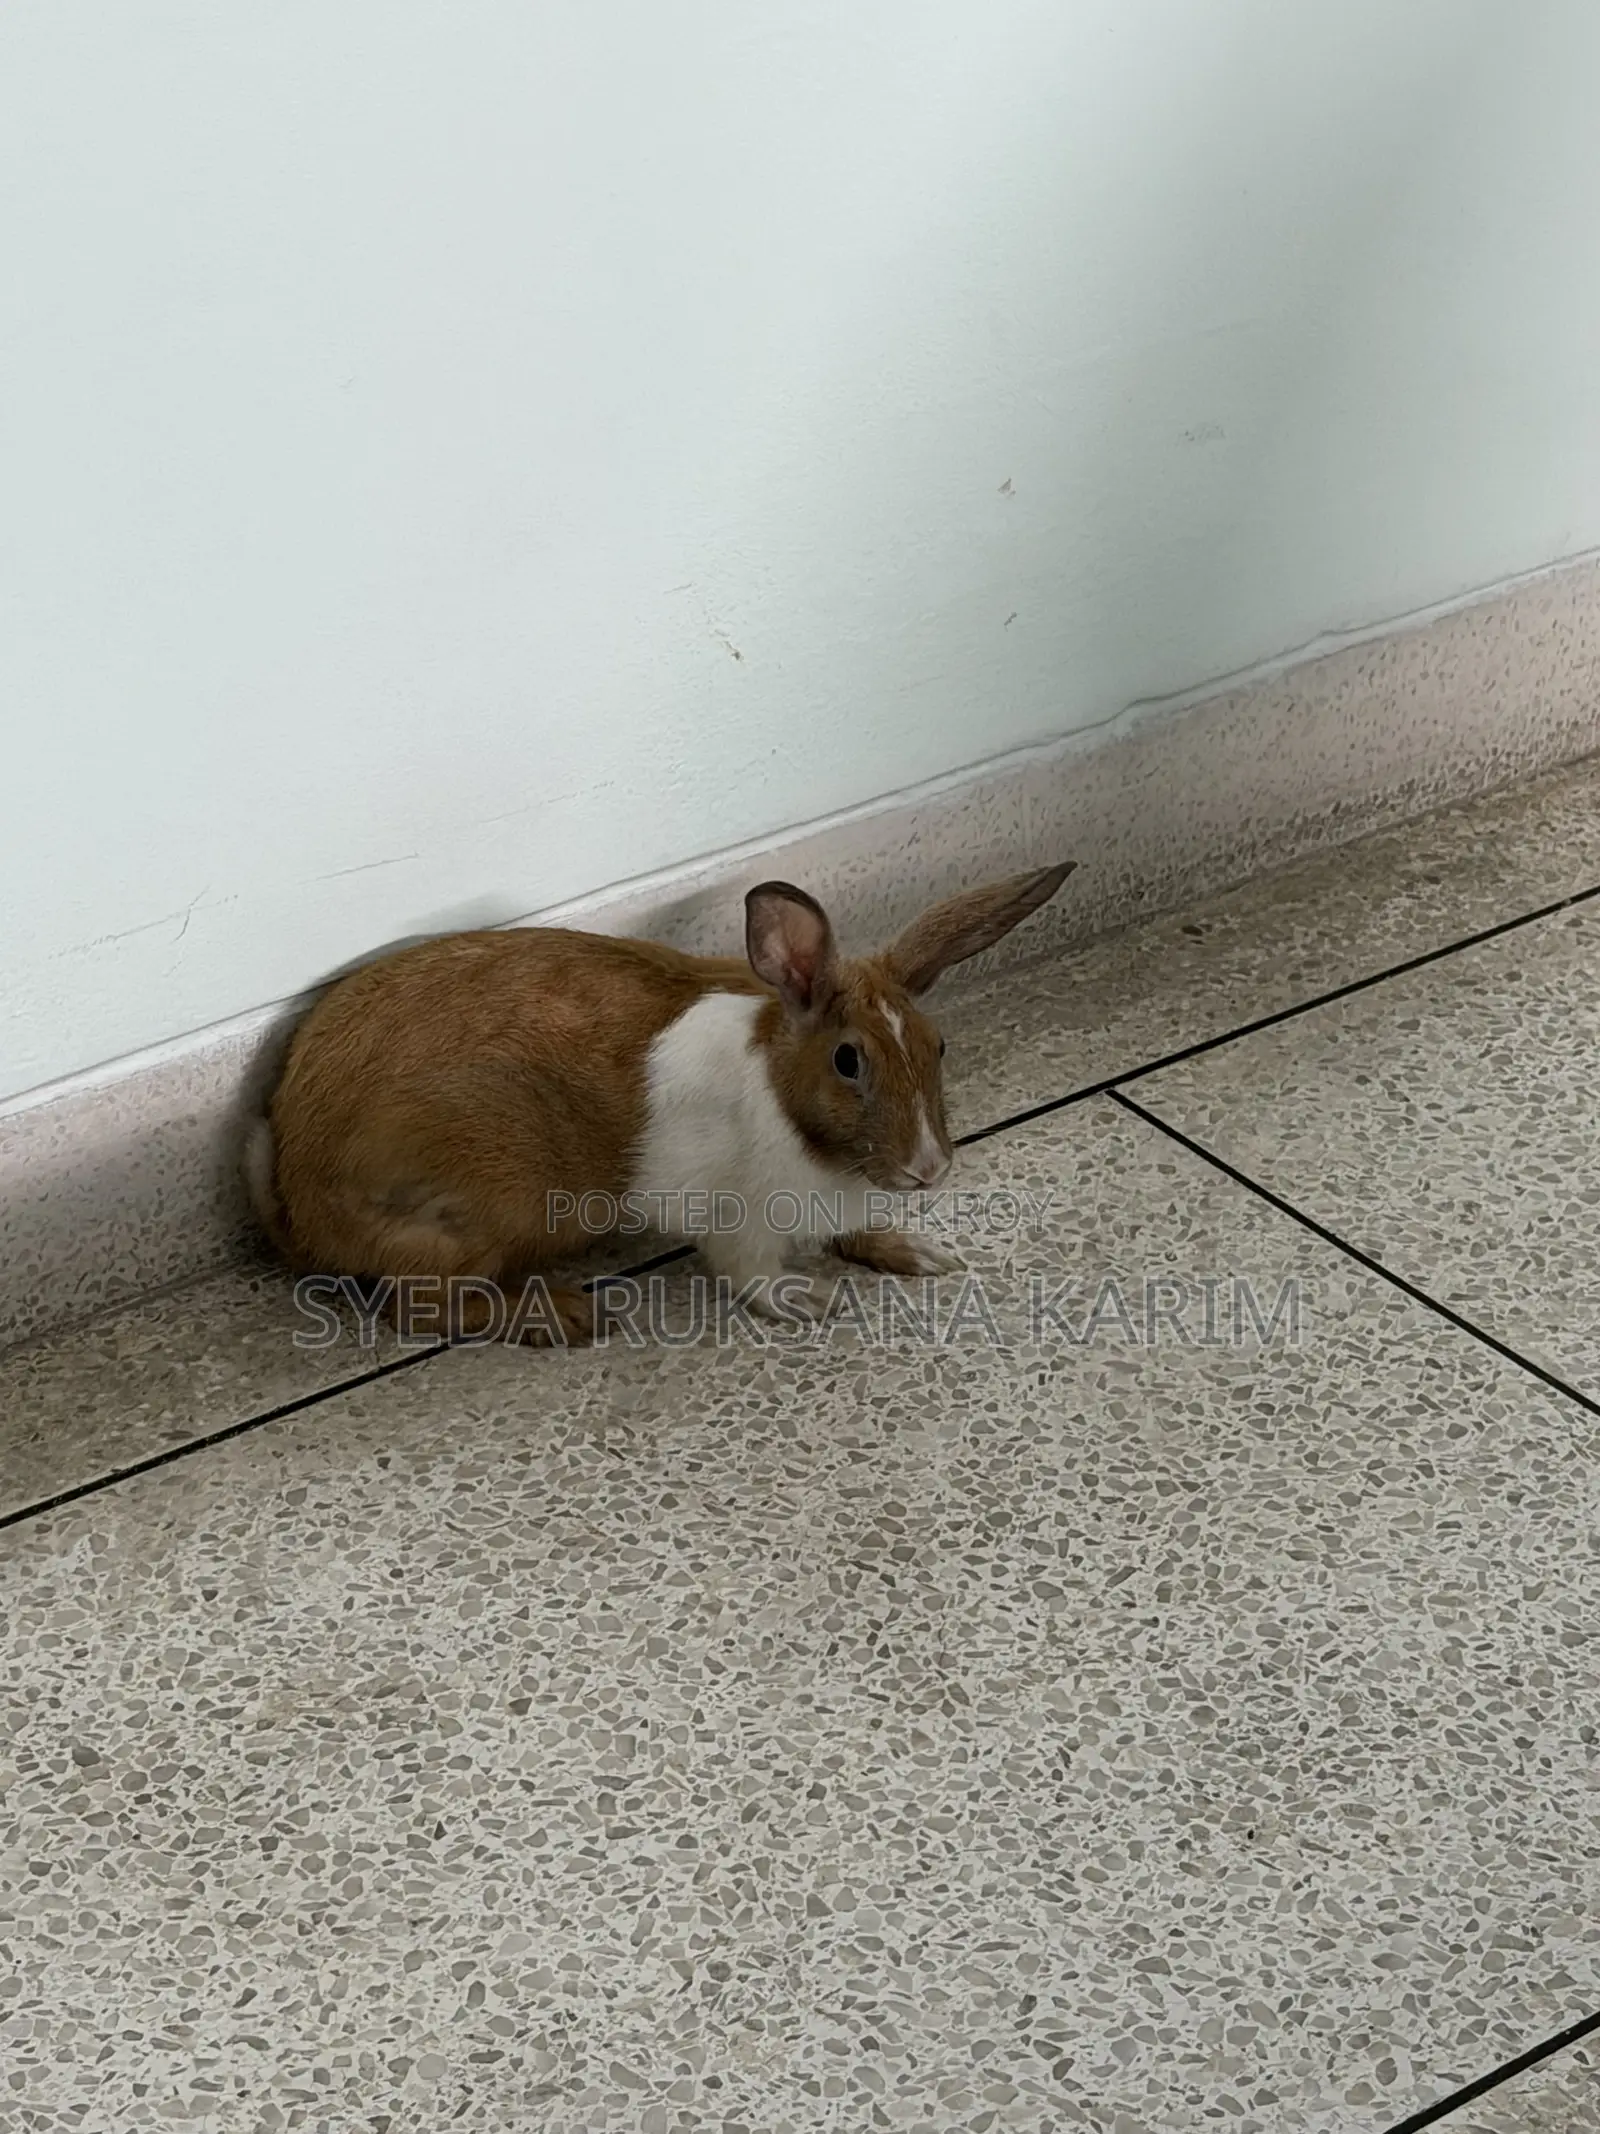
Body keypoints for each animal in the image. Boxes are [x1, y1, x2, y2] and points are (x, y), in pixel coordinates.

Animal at [245, 861, 1076, 1344]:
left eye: (939, 1046)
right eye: (848, 1060)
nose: (929, 1170)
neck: (792, 1109)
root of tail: (296, 1196)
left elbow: (858, 1230)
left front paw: (916, 1252)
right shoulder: (738, 1220)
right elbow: (751, 1274)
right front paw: (806, 1302)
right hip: (493, 1216)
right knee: (415, 1309)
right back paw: (567, 1316)